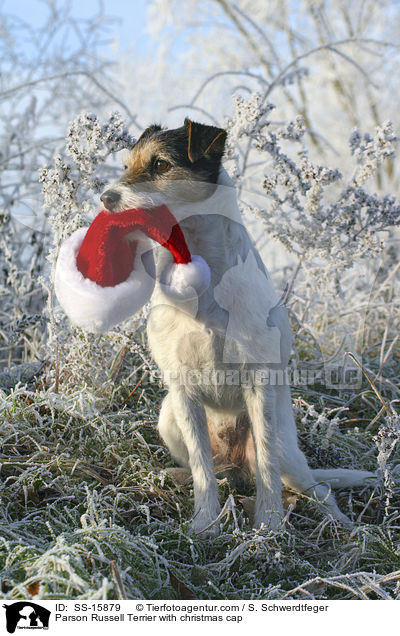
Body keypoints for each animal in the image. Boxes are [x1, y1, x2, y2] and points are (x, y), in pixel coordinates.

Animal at [100, 118, 376, 536]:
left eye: (161, 164)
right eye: (127, 165)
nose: (105, 198)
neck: (198, 272)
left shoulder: (259, 381)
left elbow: (266, 463)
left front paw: (270, 523)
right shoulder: (182, 389)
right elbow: (202, 468)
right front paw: (205, 522)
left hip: (289, 450)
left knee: (315, 487)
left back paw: (339, 522)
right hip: (169, 417)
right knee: (213, 470)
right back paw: (179, 477)